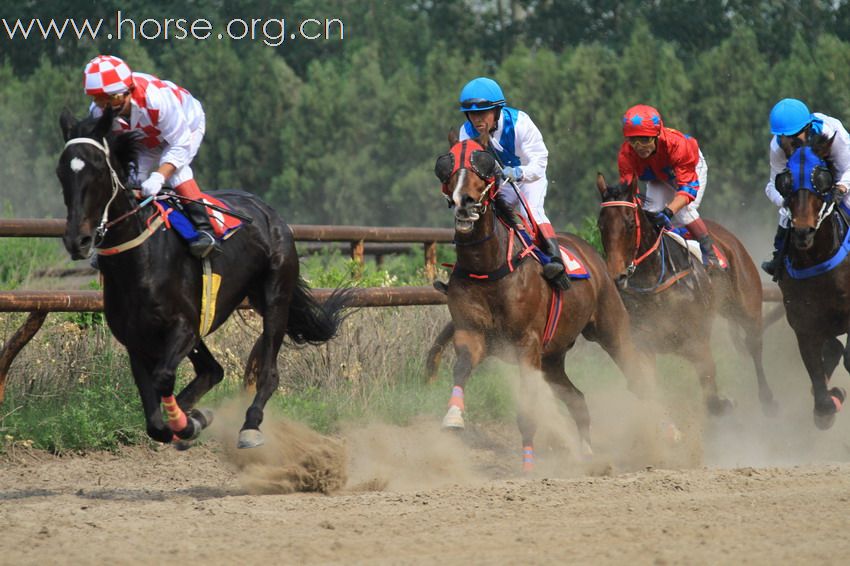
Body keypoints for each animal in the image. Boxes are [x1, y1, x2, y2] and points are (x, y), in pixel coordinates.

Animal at [57, 108, 348, 450]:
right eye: (61, 173)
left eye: (99, 172)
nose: (77, 240)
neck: (141, 261)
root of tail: (270, 213)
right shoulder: (136, 339)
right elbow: (154, 421)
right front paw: (189, 421)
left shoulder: (183, 327)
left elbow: (163, 378)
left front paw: (186, 423)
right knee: (213, 370)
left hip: (276, 298)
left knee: (268, 371)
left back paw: (250, 425)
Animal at [434, 133, 652, 470]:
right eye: (447, 165)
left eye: (484, 163)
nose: (464, 203)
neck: (490, 266)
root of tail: (595, 257)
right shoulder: (472, 333)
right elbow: (462, 367)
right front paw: (454, 416)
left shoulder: (527, 344)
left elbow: (527, 411)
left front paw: (528, 465)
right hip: (552, 358)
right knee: (578, 399)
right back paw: (587, 454)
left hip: (611, 330)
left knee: (637, 374)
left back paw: (670, 432)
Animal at [592, 175, 780, 420]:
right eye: (601, 225)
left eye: (630, 224)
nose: (617, 276)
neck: (654, 281)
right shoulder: (643, 345)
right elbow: (649, 390)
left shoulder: (697, 342)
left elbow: (712, 398)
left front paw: (727, 403)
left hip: (745, 304)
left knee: (754, 343)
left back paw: (768, 400)